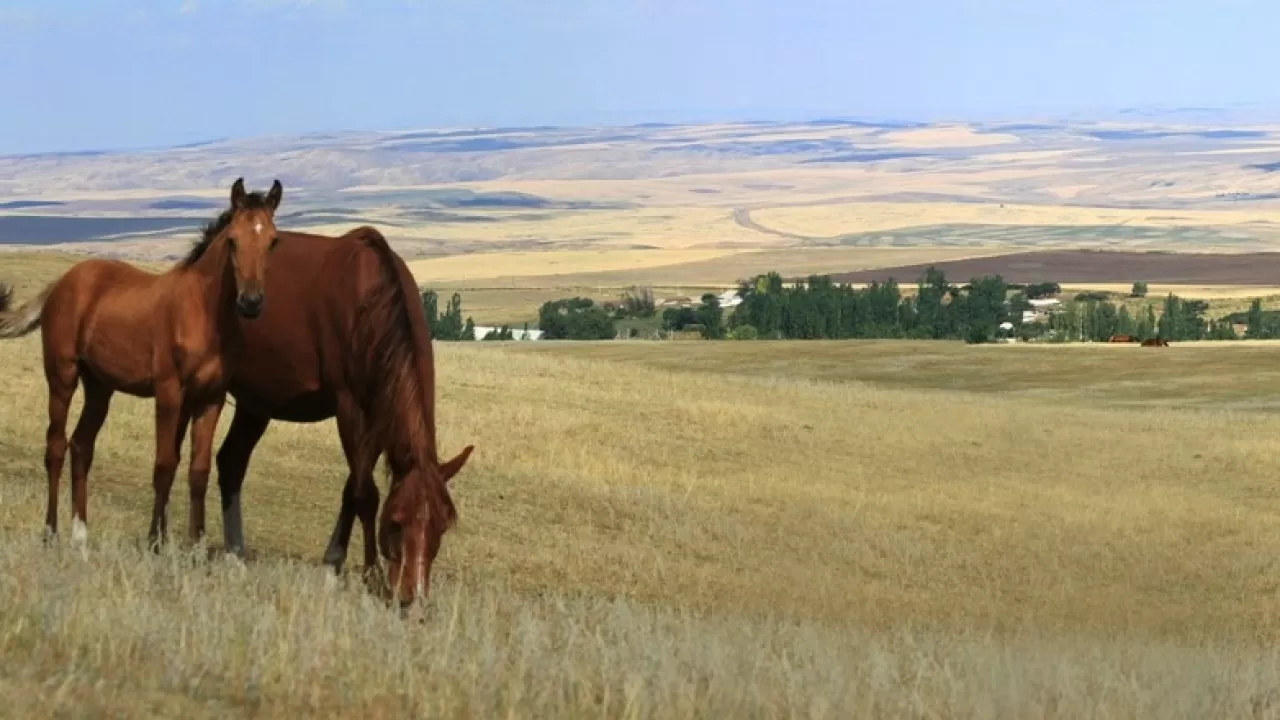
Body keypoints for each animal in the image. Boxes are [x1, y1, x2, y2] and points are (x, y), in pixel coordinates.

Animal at [0, 178, 282, 543]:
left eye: (273, 241)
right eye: (233, 240)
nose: (250, 303)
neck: (203, 313)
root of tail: (63, 283)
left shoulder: (211, 399)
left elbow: (198, 470)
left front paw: (195, 544)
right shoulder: (169, 393)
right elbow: (164, 465)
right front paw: (156, 542)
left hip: (99, 387)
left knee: (81, 446)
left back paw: (81, 534)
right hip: (62, 376)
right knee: (56, 446)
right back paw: (51, 532)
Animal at [207, 224, 473, 604]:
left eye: (442, 524)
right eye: (396, 521)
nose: (413, 598)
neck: (372, 304)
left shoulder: (377, 417)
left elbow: (353, 488)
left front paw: (335, 564)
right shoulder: (350, 409)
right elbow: (366, 494)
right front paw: (369, 574)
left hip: (257, 403)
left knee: (231, 461)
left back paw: (236, 553)